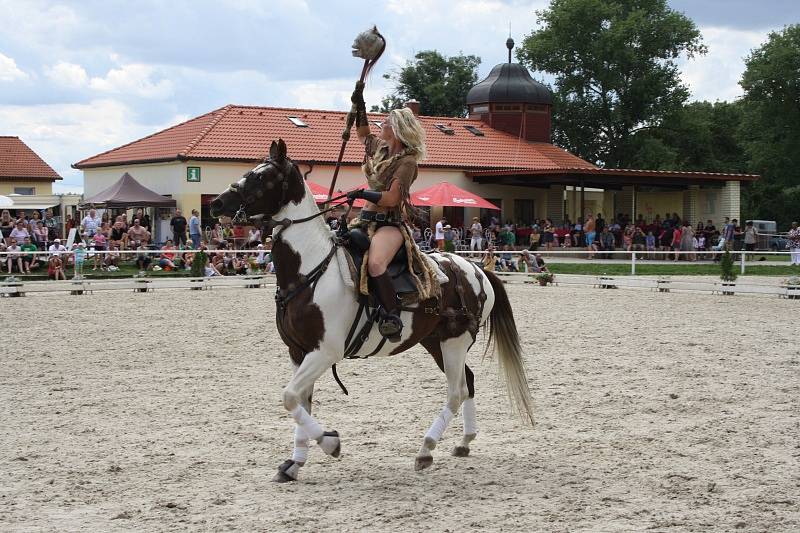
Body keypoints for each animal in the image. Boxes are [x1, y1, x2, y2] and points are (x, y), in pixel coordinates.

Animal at [209, 139, 536, 480]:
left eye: (262, 177)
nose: (217, 204)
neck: (310, 270)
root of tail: (475, 268)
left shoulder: (325, 352)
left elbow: (289, 397)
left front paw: (330, 443)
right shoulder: (298, 352)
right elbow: (300, 400)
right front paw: (294, 463)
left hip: (454, 342)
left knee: (456, 392)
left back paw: (426, 449)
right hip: (435, 342)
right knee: (467, 382)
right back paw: (464, 442)